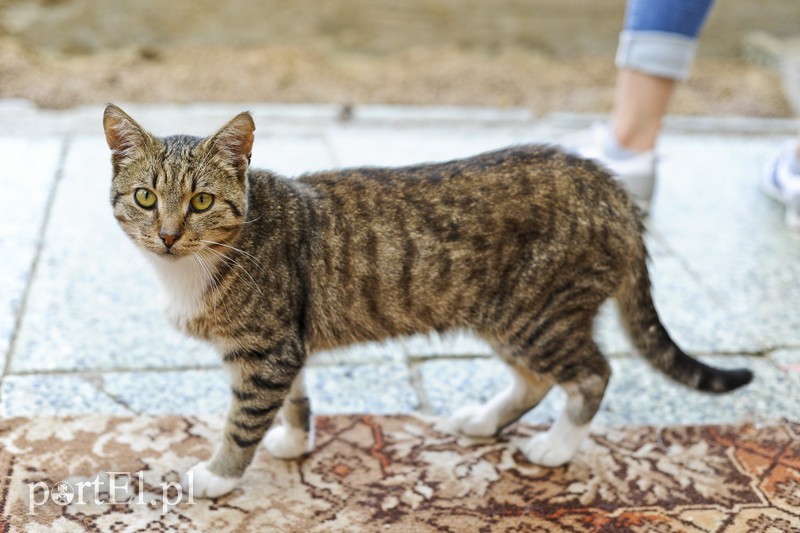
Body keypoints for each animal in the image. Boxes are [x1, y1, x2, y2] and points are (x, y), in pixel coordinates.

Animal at [103, 105, 752, 498]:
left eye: (202, 202)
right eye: (145, 197)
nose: (167, 235)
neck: (193, 267)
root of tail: (607, 183)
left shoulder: (268, 349)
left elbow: (244, 420)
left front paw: (218, 475)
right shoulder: (287, 339)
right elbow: (293, 397)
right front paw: (295, 439)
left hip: (537, 313)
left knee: (593, 373)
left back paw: (556, 445)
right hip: (508, 315)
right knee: (537, 378)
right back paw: (485, 420)